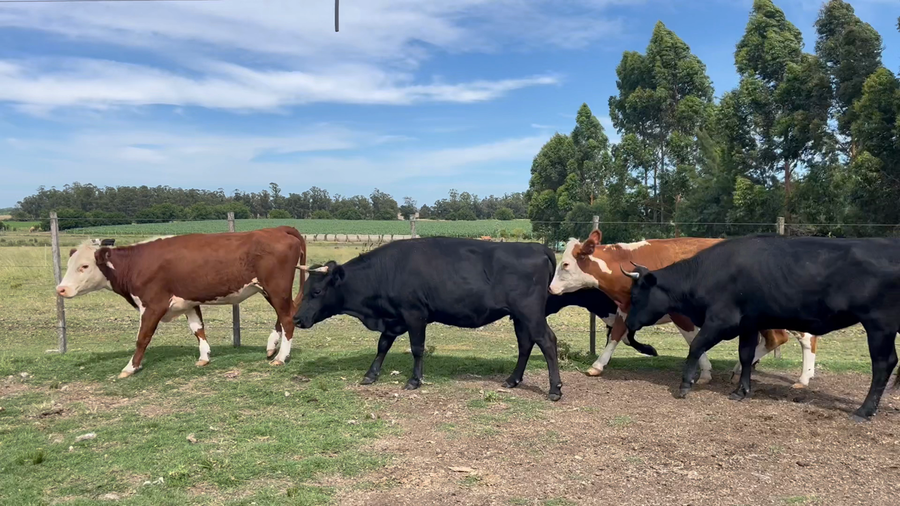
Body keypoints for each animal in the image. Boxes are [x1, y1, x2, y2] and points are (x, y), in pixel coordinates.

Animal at [55, 226, 307, 378]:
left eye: (84, 266)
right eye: (69, 265)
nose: (61, 289)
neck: (137, 263)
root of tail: (277, 229)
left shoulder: (152, 305)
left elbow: (142, 338)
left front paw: (130, 367)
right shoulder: (188, 301)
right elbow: (198, 329)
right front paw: (204, 357)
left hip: (276, 288)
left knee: (287, 318)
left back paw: (281, 357)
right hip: (272, 291)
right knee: (285, 315)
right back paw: (272, 346)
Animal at [293, 237, 565, 400]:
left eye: (317, 291)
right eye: (304, 288)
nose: (296, 319)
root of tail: (537, 247)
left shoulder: (415, 314)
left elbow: (417, 348)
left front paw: (414, 380)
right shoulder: (394, 319)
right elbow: (382, 345)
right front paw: (370, 375)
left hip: (530, 313)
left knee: (547, 341)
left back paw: (554, 389)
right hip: (519, 317)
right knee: (525, 344)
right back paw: (512, 380)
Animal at [549, 230, 818, 388]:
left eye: (566, 264)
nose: (550, 288)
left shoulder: (680, 315)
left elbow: (692, 340)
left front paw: (705, 371)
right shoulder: (627, 308)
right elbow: (616, 335)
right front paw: (598, 365)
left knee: (797, 337)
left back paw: (803, 378)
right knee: (780, 339)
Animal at [622, 234, 900, 421]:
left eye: (635, 296)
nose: (629, 324)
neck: (708, 273)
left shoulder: (721, 321)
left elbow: (697, 346)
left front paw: (685, 384)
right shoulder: (749, 323)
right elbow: (745, 356)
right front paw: (741, 390)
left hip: (879, 326)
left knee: (883, 364)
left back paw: (864, 410)